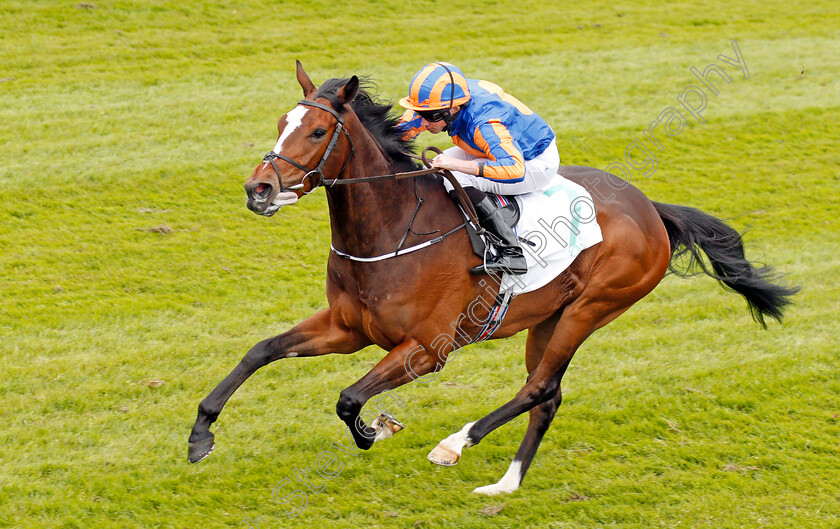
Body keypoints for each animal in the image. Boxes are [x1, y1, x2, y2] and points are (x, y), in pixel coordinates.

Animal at [187, 63, 796, 496]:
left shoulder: (427, 349)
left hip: (592, 307)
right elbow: (261, 350)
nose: (259, 189)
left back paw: (455, 444)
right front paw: (200, 435)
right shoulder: (347, 327)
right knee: (549, 395)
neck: (390, 232)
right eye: (280, 125)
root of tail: (650, 209)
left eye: (316, 130)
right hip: (549, 317)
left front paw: (374, 430)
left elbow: (348, 397)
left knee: (539, 388)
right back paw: (505, 483)